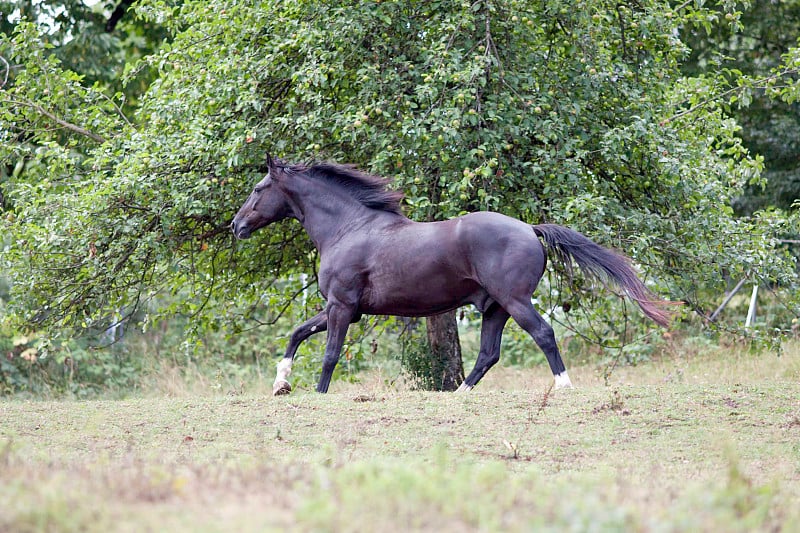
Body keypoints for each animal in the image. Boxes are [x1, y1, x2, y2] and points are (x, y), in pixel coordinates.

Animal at [234, 156, 672, 392]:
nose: (236, 226)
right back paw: (458, 395)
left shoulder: (341, 307)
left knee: (544, 334)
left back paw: (563, 386)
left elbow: (329, 354)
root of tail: (530, 228)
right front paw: (281, 383)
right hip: (495, 308)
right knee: (488, 354)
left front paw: (318, 394)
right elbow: (296, 334)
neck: (349, 227)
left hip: (515, 301)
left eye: (258, 189)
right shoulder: (343, 309)